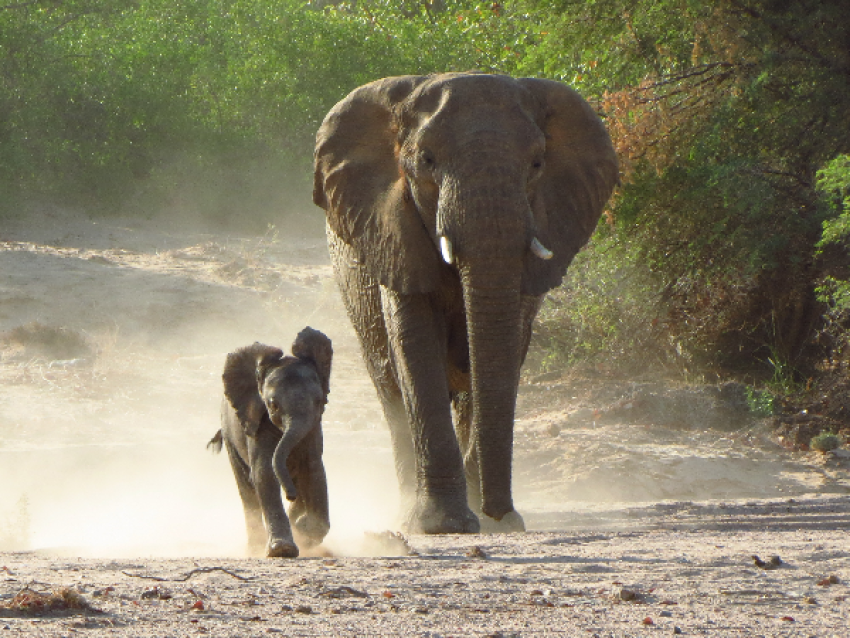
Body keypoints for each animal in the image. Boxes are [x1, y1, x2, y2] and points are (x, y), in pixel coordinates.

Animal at [209, 328, 332, 556]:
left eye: (319, 401)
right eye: (273, 405)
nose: (290, 495)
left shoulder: (314, 428)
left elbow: (313, 469)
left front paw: (303, 529)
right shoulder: (256, 424)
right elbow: (264, 473)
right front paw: (283, 550)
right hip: (230, 436)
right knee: (247, 490)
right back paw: (255, 547)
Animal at [314, 72, 616, 536]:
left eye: (537, 164)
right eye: (427, 160)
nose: (501, 513)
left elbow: (502, 349)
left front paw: (492, 523)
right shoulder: (392, 231)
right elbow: (415, 345)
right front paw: (444, 525)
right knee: (390, 388)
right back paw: (408, 513)